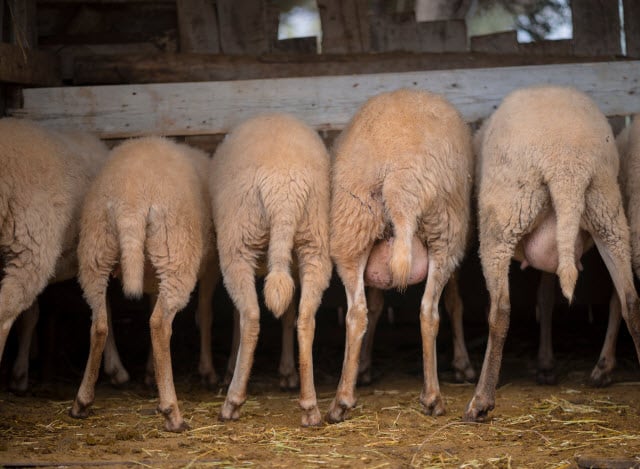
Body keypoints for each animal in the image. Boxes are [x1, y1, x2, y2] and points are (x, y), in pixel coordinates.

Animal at [70, 136, 212, 432]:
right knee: (159, 324)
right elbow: (205, 314)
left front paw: (149, 372)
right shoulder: (212, 265)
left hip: (95, 249)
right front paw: (208, 372)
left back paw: (82, 402)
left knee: (99, 324)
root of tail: (130, 202)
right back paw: (172, 412)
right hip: (175, 252)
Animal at [211, 112, 332, 424]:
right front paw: (287, 372)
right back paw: (310, 406)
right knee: (305, 319)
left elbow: (237, 316)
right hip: (314, 241)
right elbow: (288, 313)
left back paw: (232, 401)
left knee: (251, 317)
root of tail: (283, 191)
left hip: (239, 239)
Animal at [328, 88, 472, 420]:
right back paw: (432, 398)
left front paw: (364, 367)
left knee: (357, 313)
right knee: (429, 311)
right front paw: (462, 364)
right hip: (446, 233)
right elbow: (455, 302)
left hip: (352, 229)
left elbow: (376, 304)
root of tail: (400, 187)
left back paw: (342, 400)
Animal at [464, 84, 640, 420]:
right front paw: (546, 365)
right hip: (606, 212)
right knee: (630, 300)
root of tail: (567, 165)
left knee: (501, 310)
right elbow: (546, 299)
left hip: (504, 215)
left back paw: (482, 399)